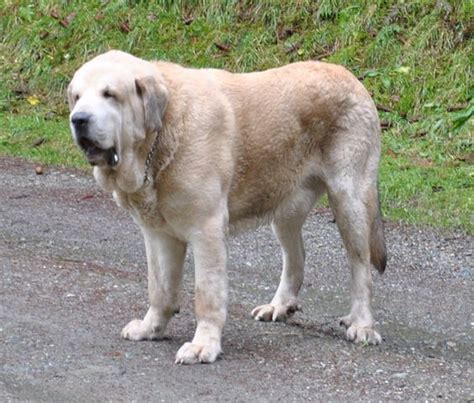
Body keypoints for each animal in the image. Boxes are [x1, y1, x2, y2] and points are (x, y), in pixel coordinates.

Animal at [67, 50, 386, 366]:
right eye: (77, 97)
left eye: (110, 94)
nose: (78, 119)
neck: (159, 139)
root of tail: (349, 76)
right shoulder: (158, 234)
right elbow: (159, 288)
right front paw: (151, 328)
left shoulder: (206, 229)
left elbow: (206, 294)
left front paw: (203, 345)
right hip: (285, 205)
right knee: (296, 256)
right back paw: (279, 306)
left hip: (350, 200)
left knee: (361, 267)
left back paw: (362, 324)